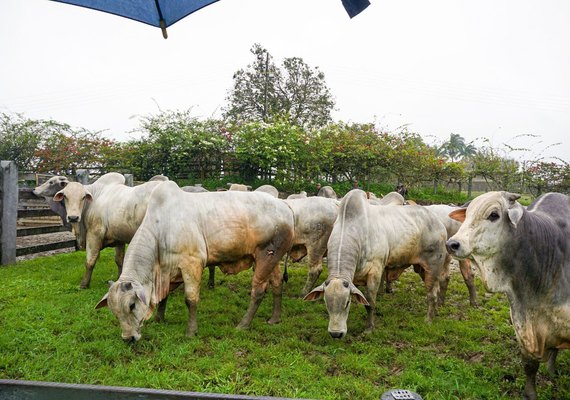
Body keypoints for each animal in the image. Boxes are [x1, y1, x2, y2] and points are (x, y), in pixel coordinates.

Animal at [95, 183, 292, 342]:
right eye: (114, 312)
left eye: (131, 305)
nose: (128, 338)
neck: (160, 230)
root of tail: (284, 206)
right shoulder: (168, 271)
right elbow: (164, 298)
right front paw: (159, 319)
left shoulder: (192, 264)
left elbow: (190, 300)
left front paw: (191, 331)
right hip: (272, 259)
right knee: (277, 284)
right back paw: (275, 318)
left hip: (265, 256)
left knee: (258, 291)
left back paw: (243, 324)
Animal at [444, 191, 568, 400]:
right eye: (467, 214)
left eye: (494, 215)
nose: (452, 244)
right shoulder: (522, 323)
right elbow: (530, 366)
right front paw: (530, 394)